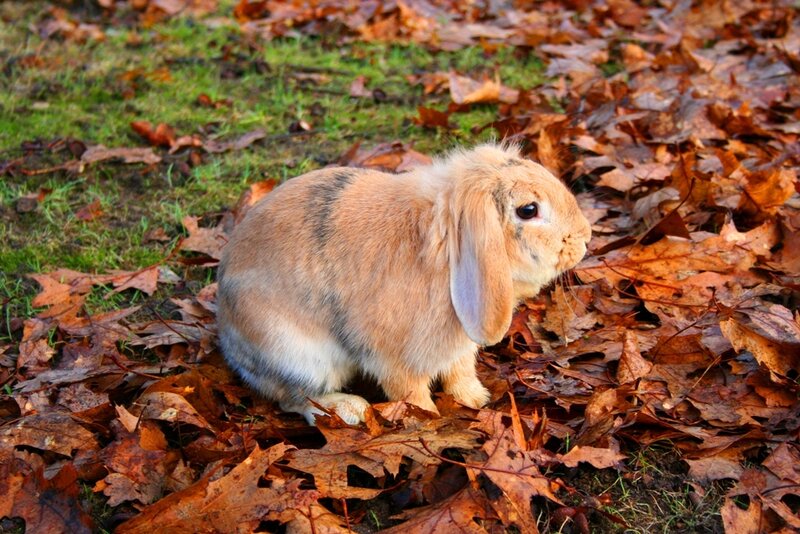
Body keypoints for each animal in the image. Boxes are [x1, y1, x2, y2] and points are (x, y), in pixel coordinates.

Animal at [217, 143, 592, 425]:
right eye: (529, 210)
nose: (586, 237)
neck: (447, 257)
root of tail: (229, 343)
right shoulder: (395, 359)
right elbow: (410, 393)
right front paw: (427, 418)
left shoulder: (458, 349)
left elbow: (460, 373)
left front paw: (476, 400)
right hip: (298, 354)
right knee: (293, 397)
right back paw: (350, 410)